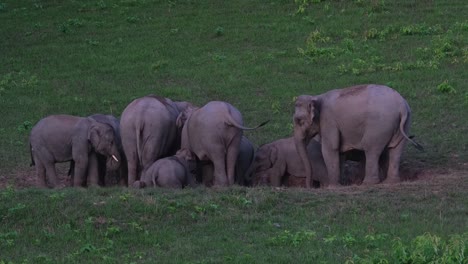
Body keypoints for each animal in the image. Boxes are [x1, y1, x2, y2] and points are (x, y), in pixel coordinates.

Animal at [292, 84, 424, 188]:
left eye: (299, 121)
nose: (310, 187)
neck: (317, 97)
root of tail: (402, 106)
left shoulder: (328, 121)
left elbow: (330, 148)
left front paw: (333, 186)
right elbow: (340, 152)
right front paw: (342, 183)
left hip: (379, 126)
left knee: (371, 148)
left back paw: (368, 183)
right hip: (405, 123)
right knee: (395, 149)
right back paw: (390, 182)